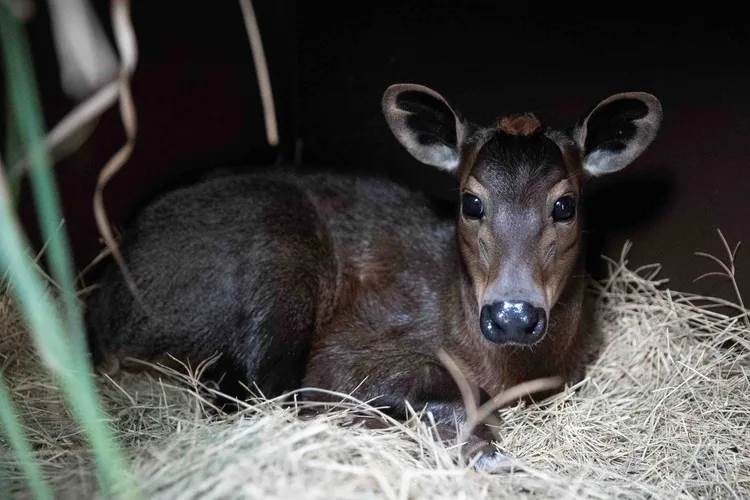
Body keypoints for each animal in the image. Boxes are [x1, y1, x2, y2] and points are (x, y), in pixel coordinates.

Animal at [86, 83, 662, 471]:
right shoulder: (346, 353)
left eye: (565, 205)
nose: (513, 315)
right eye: (470, 202)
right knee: (257, 397)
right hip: (276, 251)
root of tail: (106, 305)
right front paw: (472, 440)